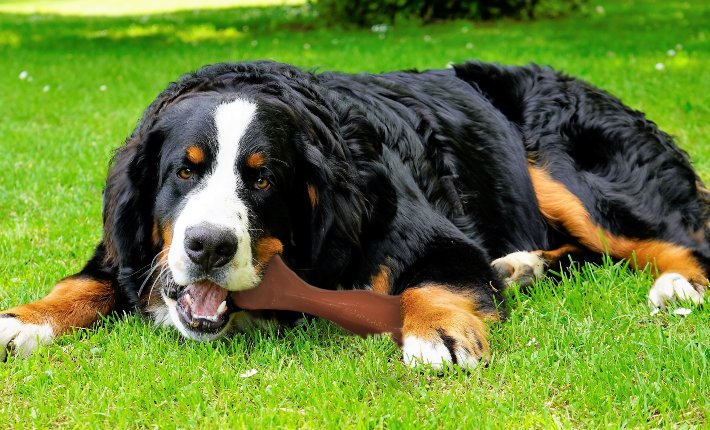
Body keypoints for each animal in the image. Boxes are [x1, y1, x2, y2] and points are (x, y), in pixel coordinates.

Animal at [1, 60, 710, 368]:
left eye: (263, 178)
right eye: (185, 169)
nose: (207, 245)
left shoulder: (436, 240)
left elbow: (438, 279)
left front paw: (437, 330)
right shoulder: (127, 251)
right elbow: (85, 283)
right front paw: (22, 321)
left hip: (566, 172)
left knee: (678, 239)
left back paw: (677, 285)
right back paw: (521, 267)